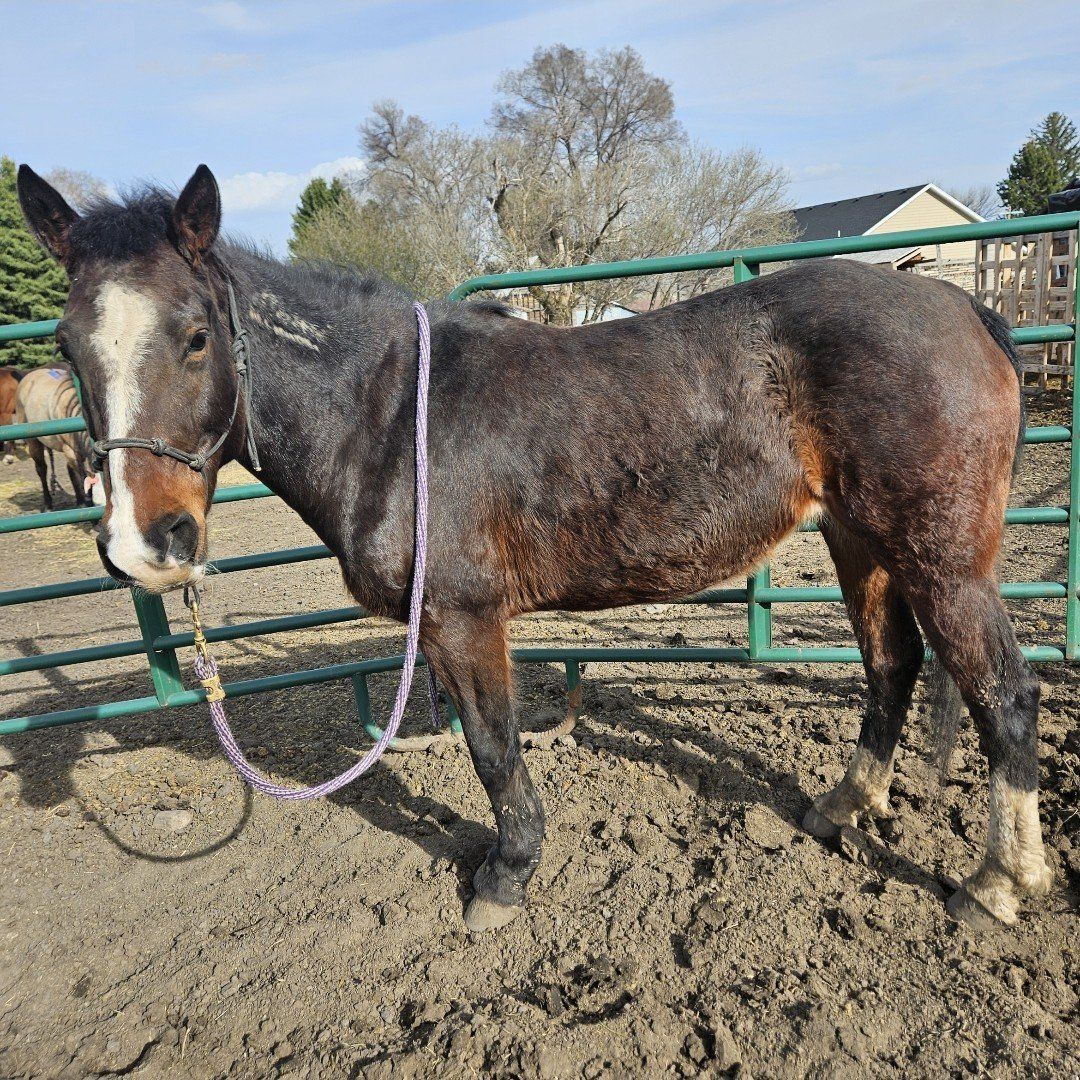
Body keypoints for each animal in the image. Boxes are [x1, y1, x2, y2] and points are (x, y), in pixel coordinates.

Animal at [14, 366, 104, 510]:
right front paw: (88, 504)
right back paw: (48, 504)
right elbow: (82, 476)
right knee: (41, 469)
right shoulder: (70, 450)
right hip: (34, 442)